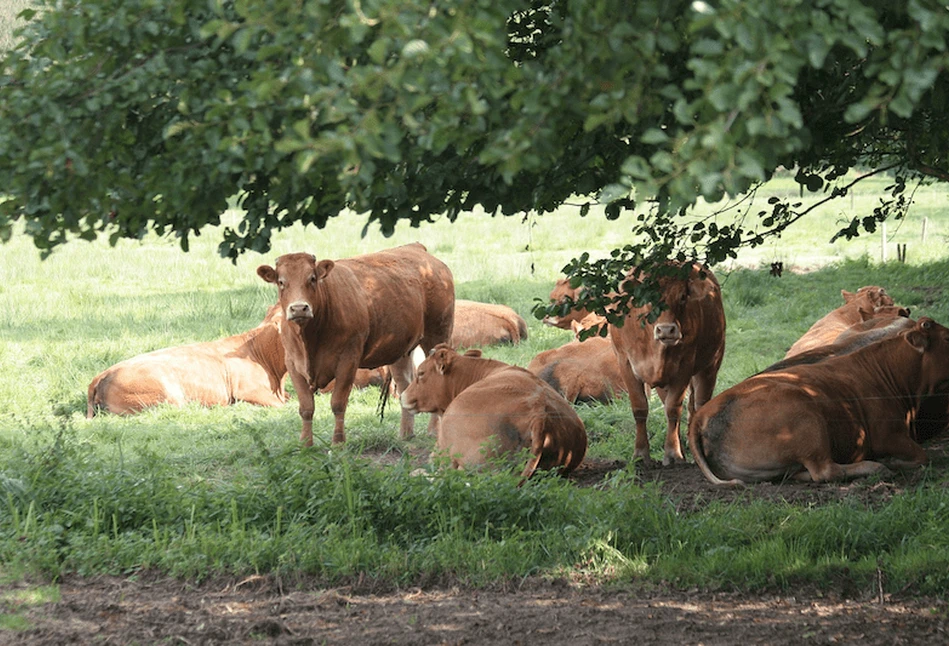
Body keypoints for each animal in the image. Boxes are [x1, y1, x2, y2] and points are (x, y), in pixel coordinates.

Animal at [258, 242, 454, 446]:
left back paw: (433, 431)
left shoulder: (348, 360)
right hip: (400, 349)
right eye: (281, 282)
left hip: (438, 332)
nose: (298, 308)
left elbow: (338, 403)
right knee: (404, 386)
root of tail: (416, 248)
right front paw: (305, 444)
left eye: (312, 278)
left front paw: (338, 442)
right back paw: (405, 434)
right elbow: (306, 407)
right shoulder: (293, 364)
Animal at [608, 262, 724, 466]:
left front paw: (672, 454)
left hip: (711, 364)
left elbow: (673, 409)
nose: (667, 330)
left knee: (699, 404)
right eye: (647, 297)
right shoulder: (625, 363)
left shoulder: (685, 365)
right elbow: (639, 407)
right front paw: (640, 453)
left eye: (683, 297)